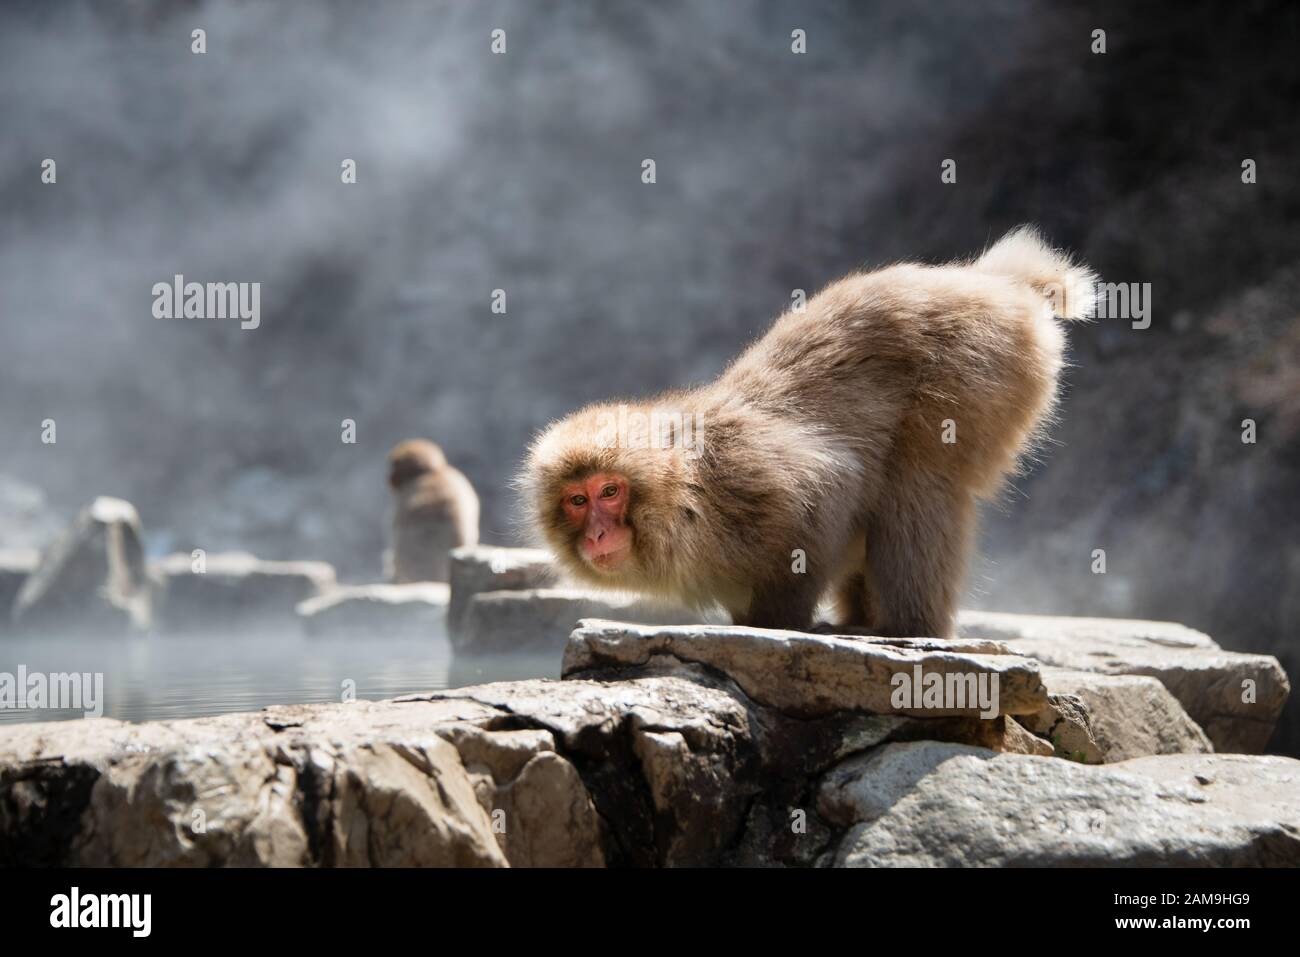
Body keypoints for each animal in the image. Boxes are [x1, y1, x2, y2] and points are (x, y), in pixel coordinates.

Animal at [522, 227, 1092, 639]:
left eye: (609, 492)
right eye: (577, 500)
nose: (597, 533)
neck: (690, 494)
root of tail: (996, 283)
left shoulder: (750, 475)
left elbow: (829, 488)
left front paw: (776, 620)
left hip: (979, 363)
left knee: (918, 484)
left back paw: (906, 628)